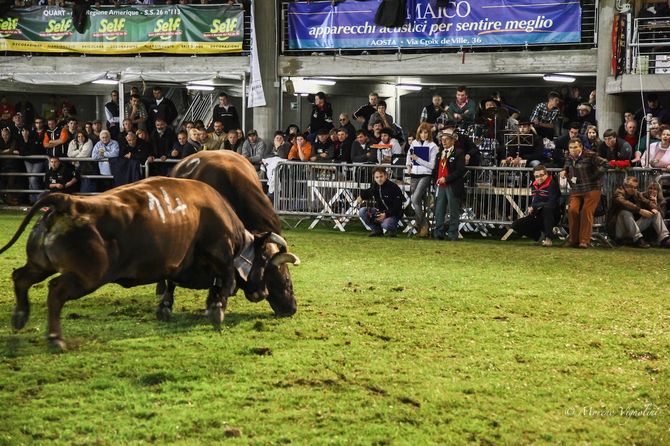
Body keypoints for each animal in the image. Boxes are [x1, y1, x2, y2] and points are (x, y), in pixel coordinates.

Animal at [0, 178, 300, 352]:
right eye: (269, 266)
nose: (263, 293)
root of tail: (70, 202)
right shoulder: (220, 254)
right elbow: (224, 280)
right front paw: (216, 309)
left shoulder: (179, 264)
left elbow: (173, 283)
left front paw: (166, 308)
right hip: (85, 276)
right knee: (55, 292)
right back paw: (55, 338)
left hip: (40, 263)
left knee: (21, 277)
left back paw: (20, 315)